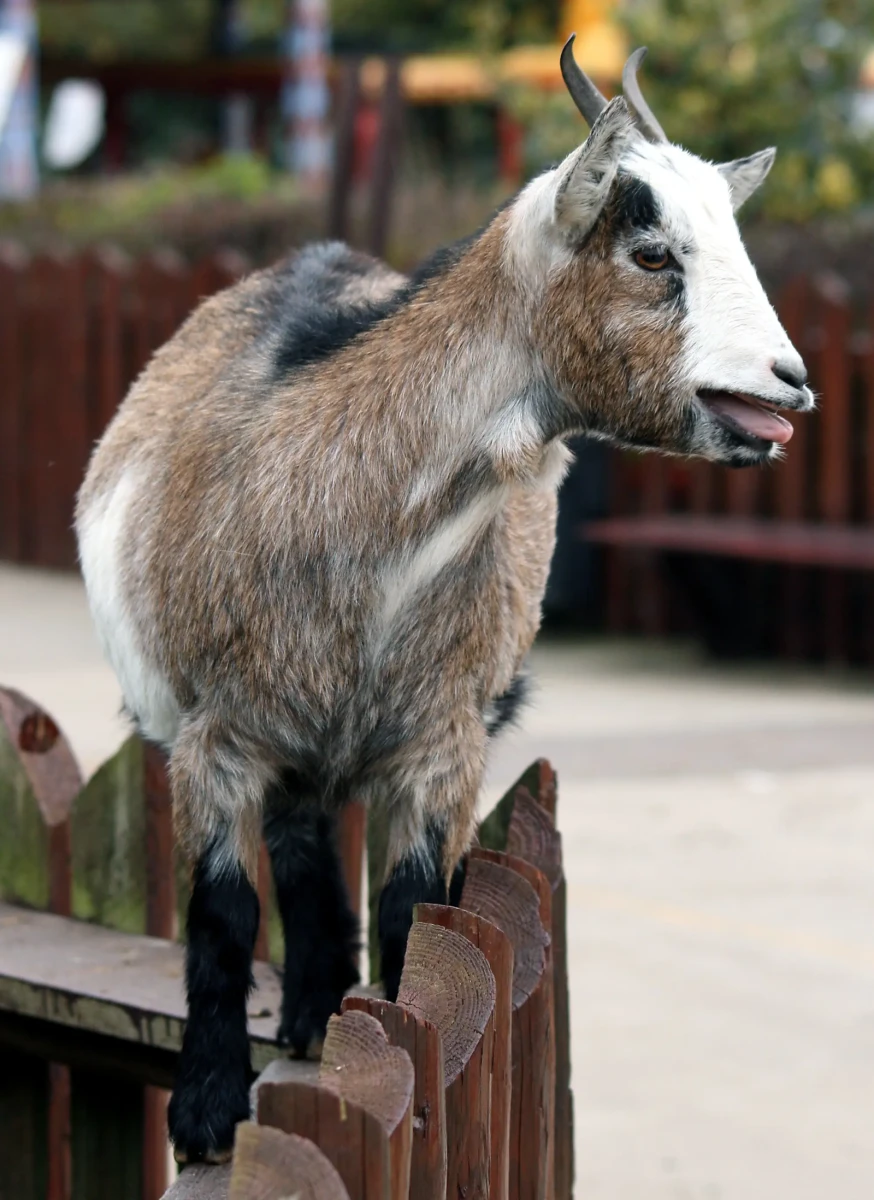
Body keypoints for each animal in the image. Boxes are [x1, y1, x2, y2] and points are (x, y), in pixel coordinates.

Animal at [75, 39, 813, 1162]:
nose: (789, 380)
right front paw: (205, 1113)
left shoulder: (442, 735)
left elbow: (418, 914)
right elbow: (221, 915)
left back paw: (315, 1016)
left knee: (307, 838)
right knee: (293, 847)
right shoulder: (212, 733)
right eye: (653, 255)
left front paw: (377, 1055)